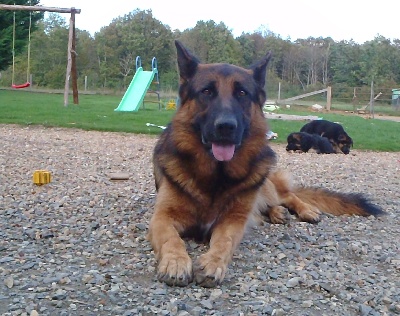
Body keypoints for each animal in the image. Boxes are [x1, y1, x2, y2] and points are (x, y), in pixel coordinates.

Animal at [148, 40, 384, 288]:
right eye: (206, 92)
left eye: (242, 93)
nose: (226, 127)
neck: (216, 175)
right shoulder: (161, 218)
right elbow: (171, 239)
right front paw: (175, 262)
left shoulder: (234, 220)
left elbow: (224, 242)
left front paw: (213, 262)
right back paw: (277, 213)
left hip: (265, 184)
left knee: (288, 196)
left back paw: (304, 210)